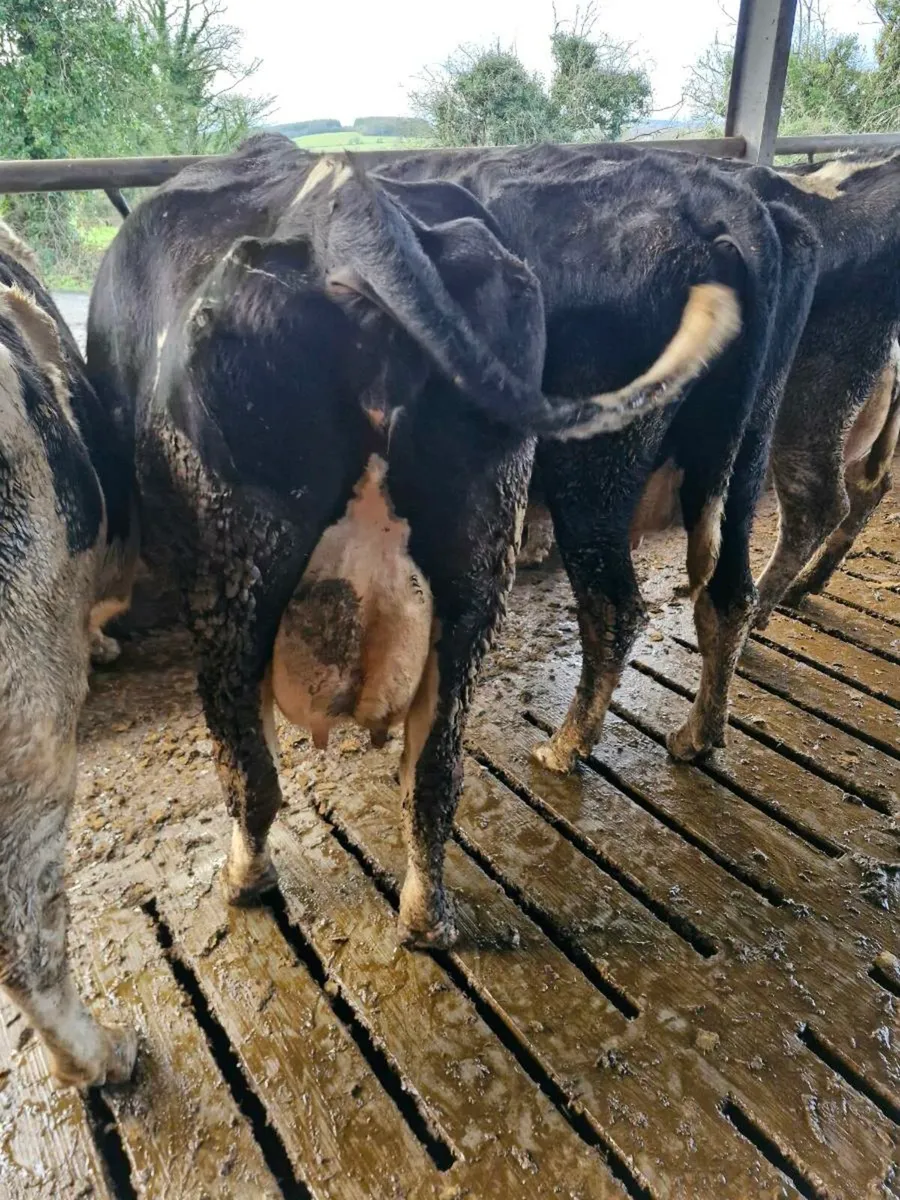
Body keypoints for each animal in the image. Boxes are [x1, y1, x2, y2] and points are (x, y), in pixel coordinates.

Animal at [86, 135, 743, 948]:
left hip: (234, 577)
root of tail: (352, 210)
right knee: (436, 769)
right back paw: (429, 913)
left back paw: (247, 878)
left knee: (248, 761)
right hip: (478, 566)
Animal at [374, 145, 821, 768]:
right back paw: (698, 734)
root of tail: (708, 191)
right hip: (746, 451)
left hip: (593, 473)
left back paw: (566, 745)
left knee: (614, 606)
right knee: (729, 592)